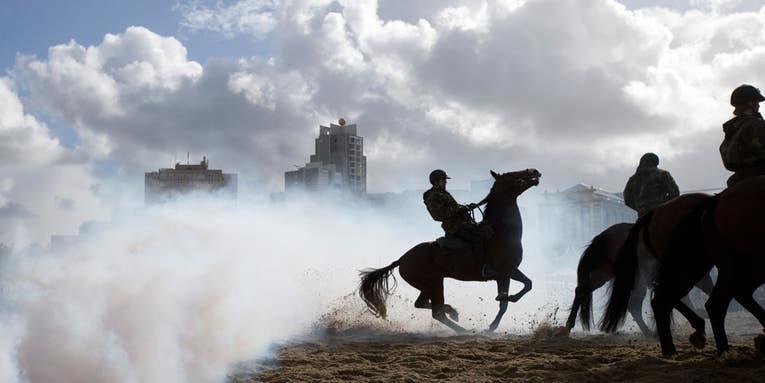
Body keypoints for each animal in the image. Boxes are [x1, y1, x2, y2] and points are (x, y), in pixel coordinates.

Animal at [356, 169, 536, 332]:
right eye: (511, 175)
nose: (534, 171)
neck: (500, 233)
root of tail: (402, 259)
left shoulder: (505, 275)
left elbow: (513, 296)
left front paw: (501, 308)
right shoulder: (507, 271)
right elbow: (521, 289)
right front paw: (504, 306)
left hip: (429, 284)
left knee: (423, 304)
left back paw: (452, 311)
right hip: (433, 284)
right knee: (437, 312)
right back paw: (462, 329)